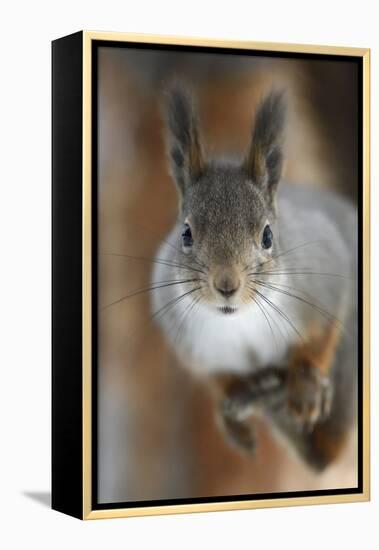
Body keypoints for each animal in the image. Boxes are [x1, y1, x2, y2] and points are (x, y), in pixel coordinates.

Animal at [150, 83, 358, 474]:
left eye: (267, 236)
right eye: (186, 234)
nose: (226, 285)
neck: (239, 322)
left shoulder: (324, 281)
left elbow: (320, 338)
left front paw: (305, 386)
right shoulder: (193, 345)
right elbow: (219, 379)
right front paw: (232, 411)